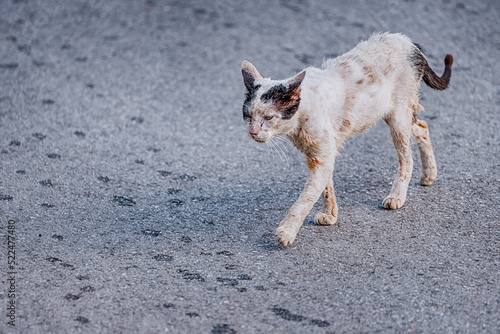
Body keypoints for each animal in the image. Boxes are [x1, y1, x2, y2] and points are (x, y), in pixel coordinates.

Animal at [241, 32, 454, 245]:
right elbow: (326, 188)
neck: (301, 116)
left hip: (398, 116)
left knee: (406, 158)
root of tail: (408, 42)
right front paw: (330, 215)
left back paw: (397, 196)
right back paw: (429, 174)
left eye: (269, 118)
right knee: (422, 126)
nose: (253, 132)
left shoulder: (322, 155)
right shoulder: (322, 155)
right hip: (397, 114)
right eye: (248, 115)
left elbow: (305, 199)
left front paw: (287, 231)